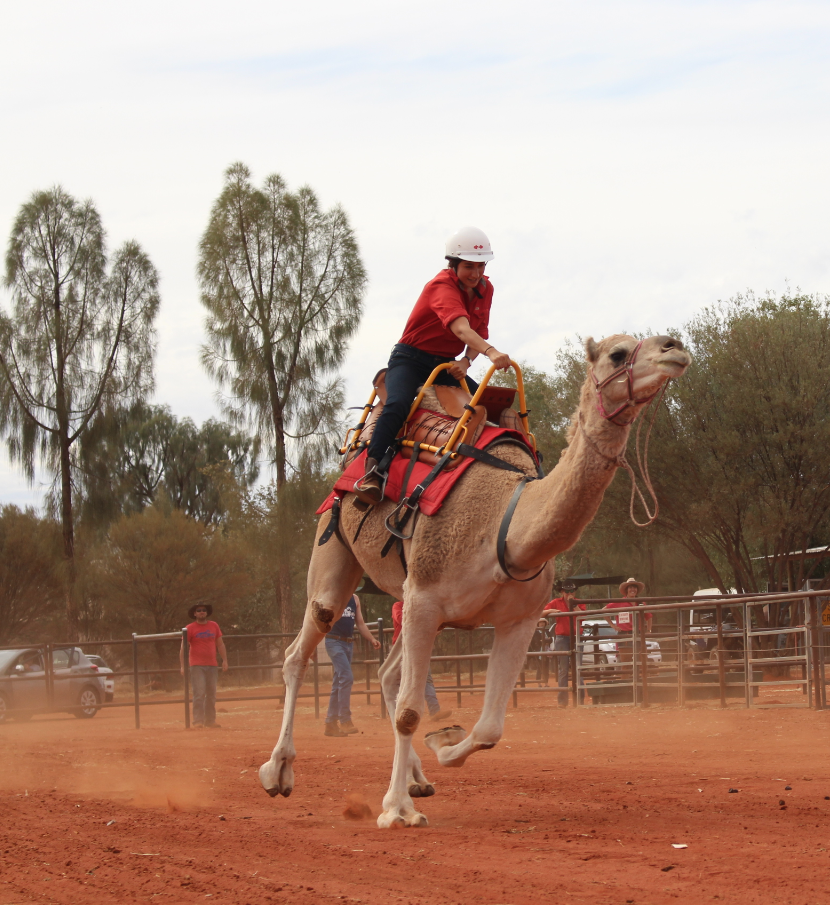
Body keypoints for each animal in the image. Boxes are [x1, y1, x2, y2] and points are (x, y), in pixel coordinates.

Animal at [258, 333, 691, 828]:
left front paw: (442, 744)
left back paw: (417, 778)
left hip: (407, 601)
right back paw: (278, 772)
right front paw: (396, 811)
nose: (674, 347)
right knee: (302, 648)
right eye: (618, 353)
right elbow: (410, 712)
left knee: (386, 675)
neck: (508, 525)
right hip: (336, 545)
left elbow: (488, 728)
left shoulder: (518, 620)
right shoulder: (426, 598)